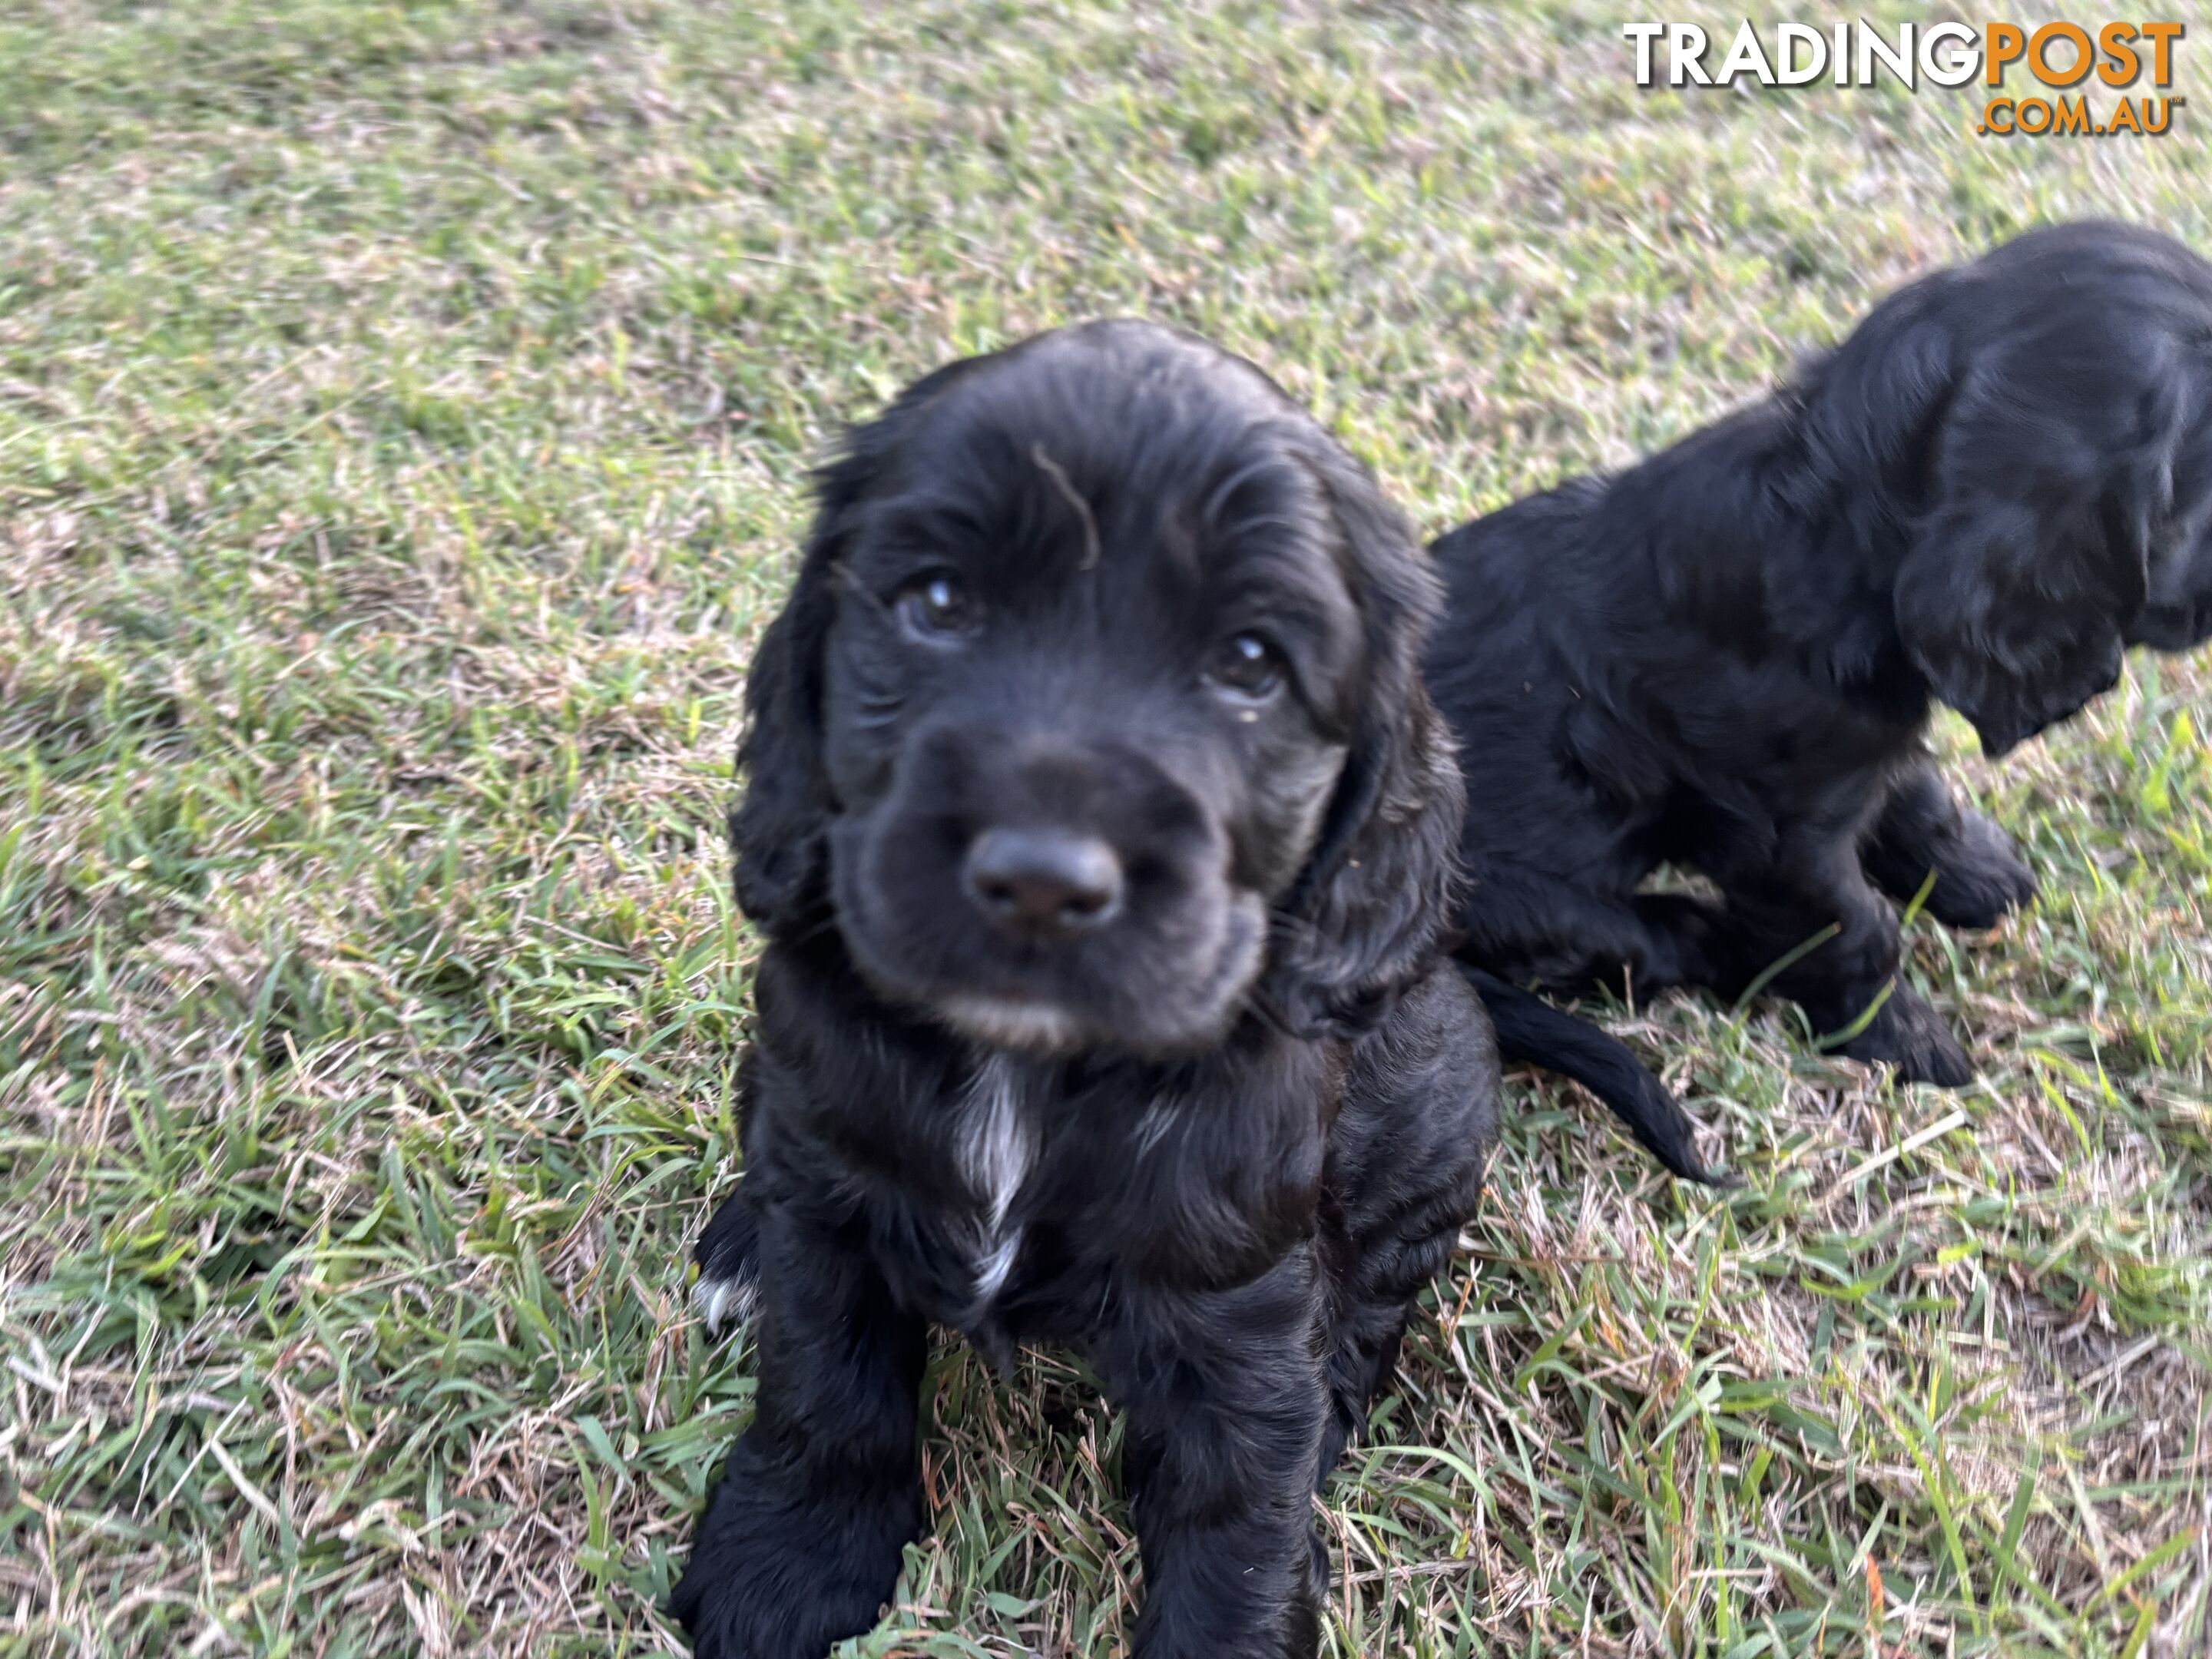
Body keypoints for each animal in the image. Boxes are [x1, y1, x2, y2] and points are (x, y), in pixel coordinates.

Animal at [677, 325, 1504, 1659]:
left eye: (1251, 663)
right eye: (939, 603)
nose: (1041, 881)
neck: (1032, 1065)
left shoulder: (1239, 1302)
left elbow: (1241, 1511)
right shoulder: (832, 1186)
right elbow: (824, 1378)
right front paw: (784, 1565)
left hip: (1438, 1102)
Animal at [1433, 224, 2212, 1141]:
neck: (1831, 531)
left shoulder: (1872, 745)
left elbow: (1920, 798)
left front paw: (1984, 880)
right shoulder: (1778, 838)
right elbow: (1854, 929)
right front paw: (1908, 1040)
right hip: (1519, 901)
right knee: (1647, 943)